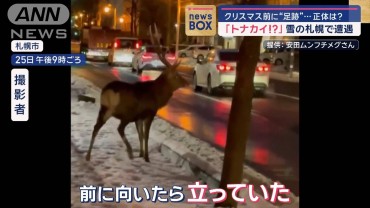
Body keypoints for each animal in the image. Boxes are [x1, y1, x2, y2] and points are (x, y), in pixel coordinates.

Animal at [86, 24, 188, 162]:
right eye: (177, 75)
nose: (187, 83)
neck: (157, 96)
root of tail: (108, 91)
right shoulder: (149, 113)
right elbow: (146, 135)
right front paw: (146, 157)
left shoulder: (139, 117)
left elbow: (140, 135)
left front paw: (141, 154)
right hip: (125, 112)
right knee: (119, 128)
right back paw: (129, 152)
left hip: (104, 109)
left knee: (96, 127)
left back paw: (88, 155)